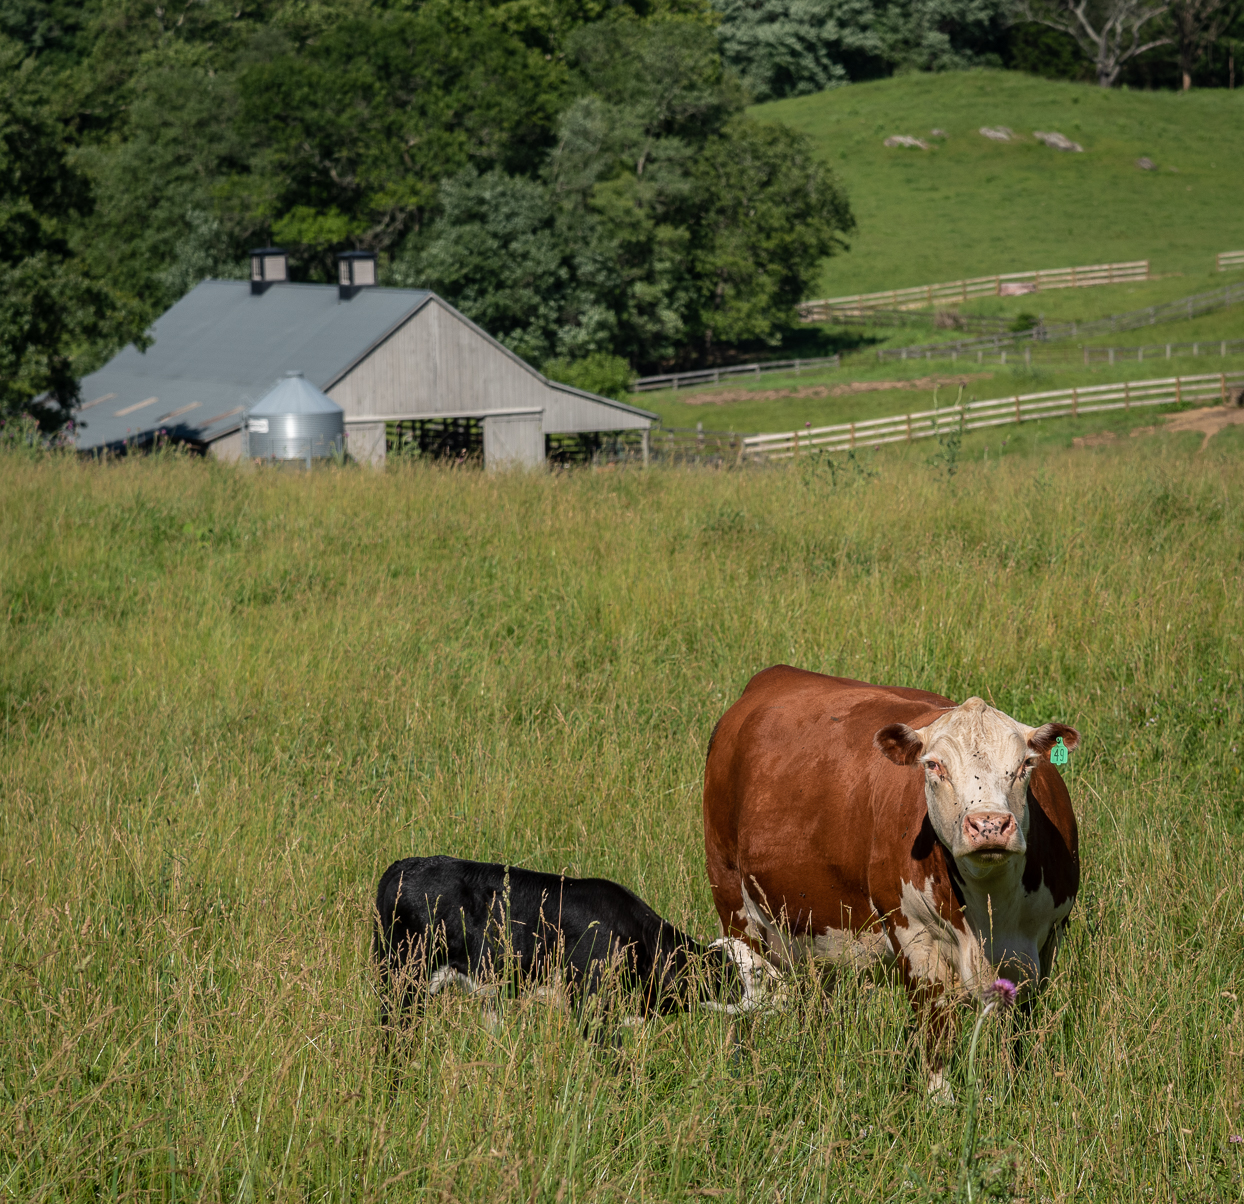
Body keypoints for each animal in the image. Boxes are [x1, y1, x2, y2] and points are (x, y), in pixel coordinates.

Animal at [701, 666, 1079, 1089]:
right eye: (934, 766)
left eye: (1025, 764)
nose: (989, 825)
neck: (990, 906)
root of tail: (773, 676)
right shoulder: (914, 939)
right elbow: (936, 1032)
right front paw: (940, 1097)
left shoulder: (1045, 944)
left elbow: (1017, 1034)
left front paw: (1014, 1086)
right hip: (733, 904)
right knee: (746, 1008)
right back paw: (743, 1071)